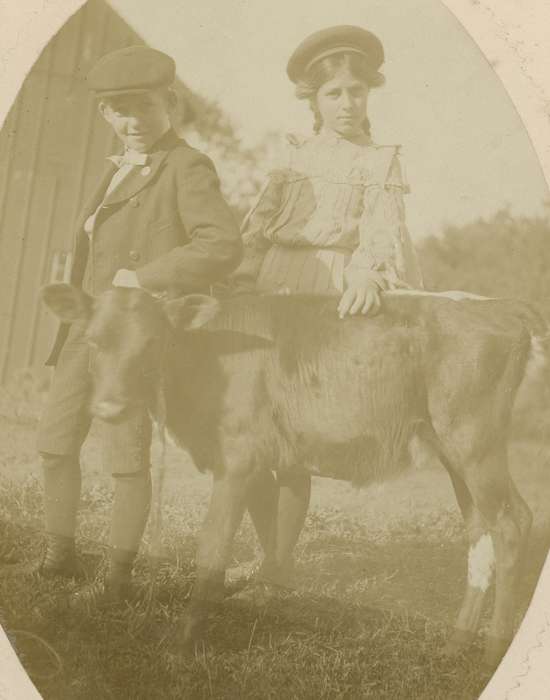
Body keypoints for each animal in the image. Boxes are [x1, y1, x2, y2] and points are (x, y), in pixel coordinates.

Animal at [42, 282, 548, 664]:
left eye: (152, 343)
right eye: (93, 341)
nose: (110, 407)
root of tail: (498, 304)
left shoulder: (239, 459)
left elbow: (212, 550)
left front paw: (181, 642)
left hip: (474, 440)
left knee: (511, 523)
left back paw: (491, 653)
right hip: (452, 448)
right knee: (480, 532)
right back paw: (454, 646)